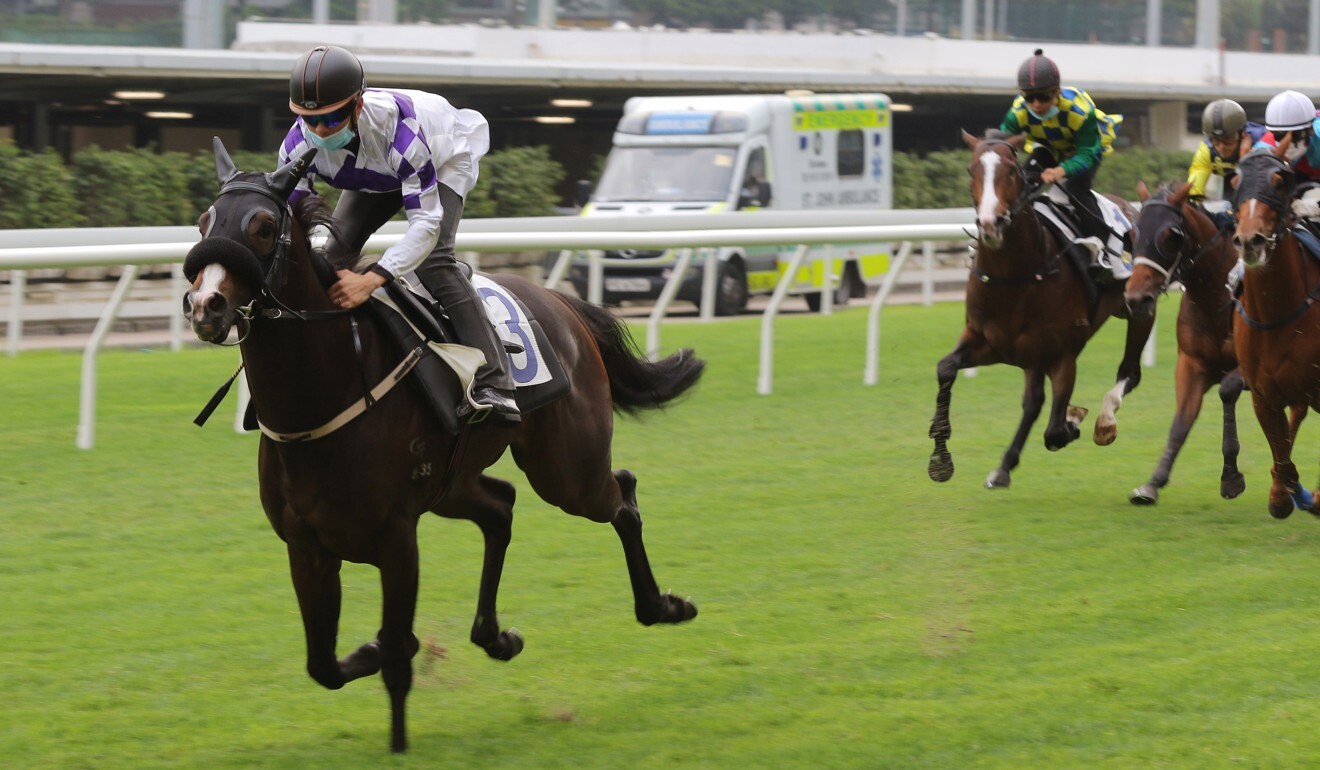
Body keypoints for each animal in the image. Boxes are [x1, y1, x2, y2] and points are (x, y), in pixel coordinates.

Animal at [183, 140, 712, 755]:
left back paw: (662, 606)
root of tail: (562, 302)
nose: (205, 305)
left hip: (567, 472)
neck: (322, 398)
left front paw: (398, 743)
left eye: (264, 227)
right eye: (205, 222)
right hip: (452, 484)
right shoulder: (307, 546)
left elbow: (395, 656)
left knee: (620, 494)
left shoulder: (396, 540)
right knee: (502, 507)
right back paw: (497, 636)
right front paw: (372, 650)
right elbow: (325, 664)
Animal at [929, 128, 1156, 488]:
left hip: (1138, 310)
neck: (1013, 275)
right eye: (970, 170)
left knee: (1129, 372)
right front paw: (940, 457)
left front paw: (1073, 420)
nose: (991, 224)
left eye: (1011, 170)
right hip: (1030, 356)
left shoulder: (1062, 353)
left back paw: (1105, 420)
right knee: (1034, 401)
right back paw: (1004, 466)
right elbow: (946, 368)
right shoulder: (991, 343)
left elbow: (1055, 432)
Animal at [1124, 180, 1246, 507]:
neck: (1218, 299)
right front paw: (1153, 483)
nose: (1137, 299)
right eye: (1132, 234)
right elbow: (1180, 424)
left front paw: (1231, 476)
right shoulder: (1191, 365)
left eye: (1171, 235)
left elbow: (1228, 390)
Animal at [1224, 143, 1320, 517]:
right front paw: (1287, 495)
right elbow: (1284, 460)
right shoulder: (1264, 396)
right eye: (1235, 180)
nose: (1250, 241)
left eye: (1279, 182)